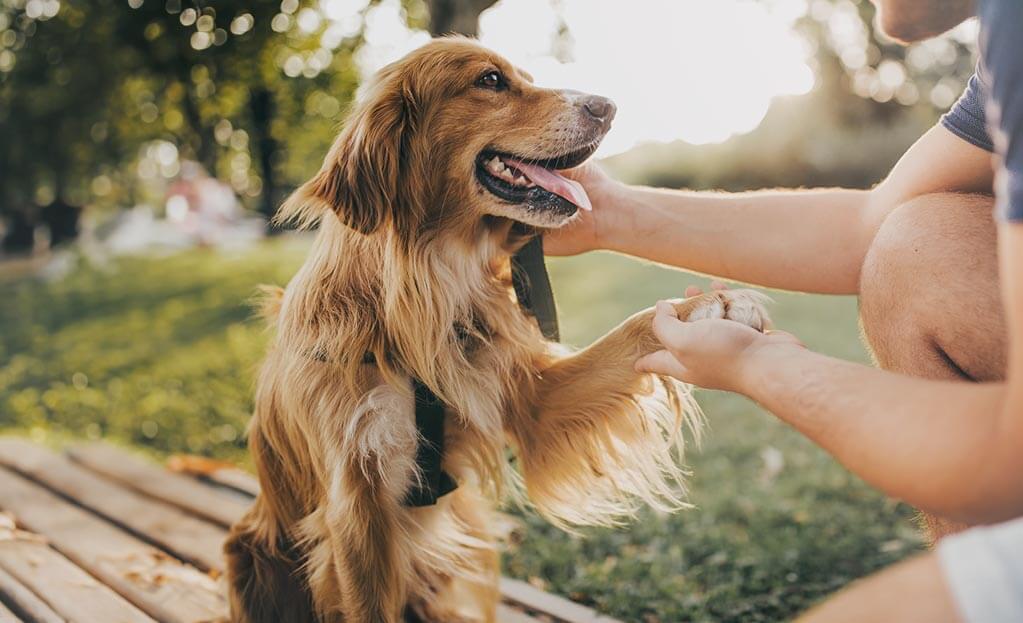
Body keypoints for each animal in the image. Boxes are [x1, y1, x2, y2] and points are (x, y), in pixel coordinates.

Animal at [224, 38, 769, 621]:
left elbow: (630, 332)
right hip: (250, 552)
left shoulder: (529, 398)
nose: (608, 106)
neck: (423, 290)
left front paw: (713, 306)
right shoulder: (355, 509)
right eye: (490, 80)